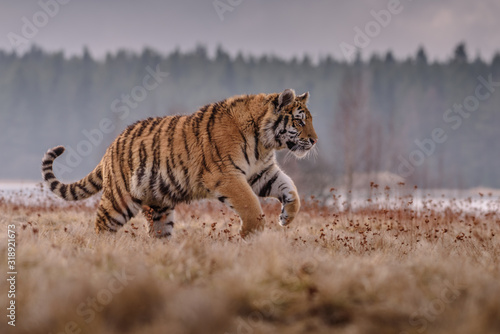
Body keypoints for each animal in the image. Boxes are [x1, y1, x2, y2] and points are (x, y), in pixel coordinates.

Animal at [42, 88, 316, 239]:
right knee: (101, 225)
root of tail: (110, 148)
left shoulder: (262, 173)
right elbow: (250, 205)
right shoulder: (227, 176)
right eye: (300, 121)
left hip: (159, 205)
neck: (264, 143)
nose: (314, 141)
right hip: (120, 200)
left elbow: (290, 189)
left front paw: (287, 218)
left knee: (158, 233)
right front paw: (251, 234)